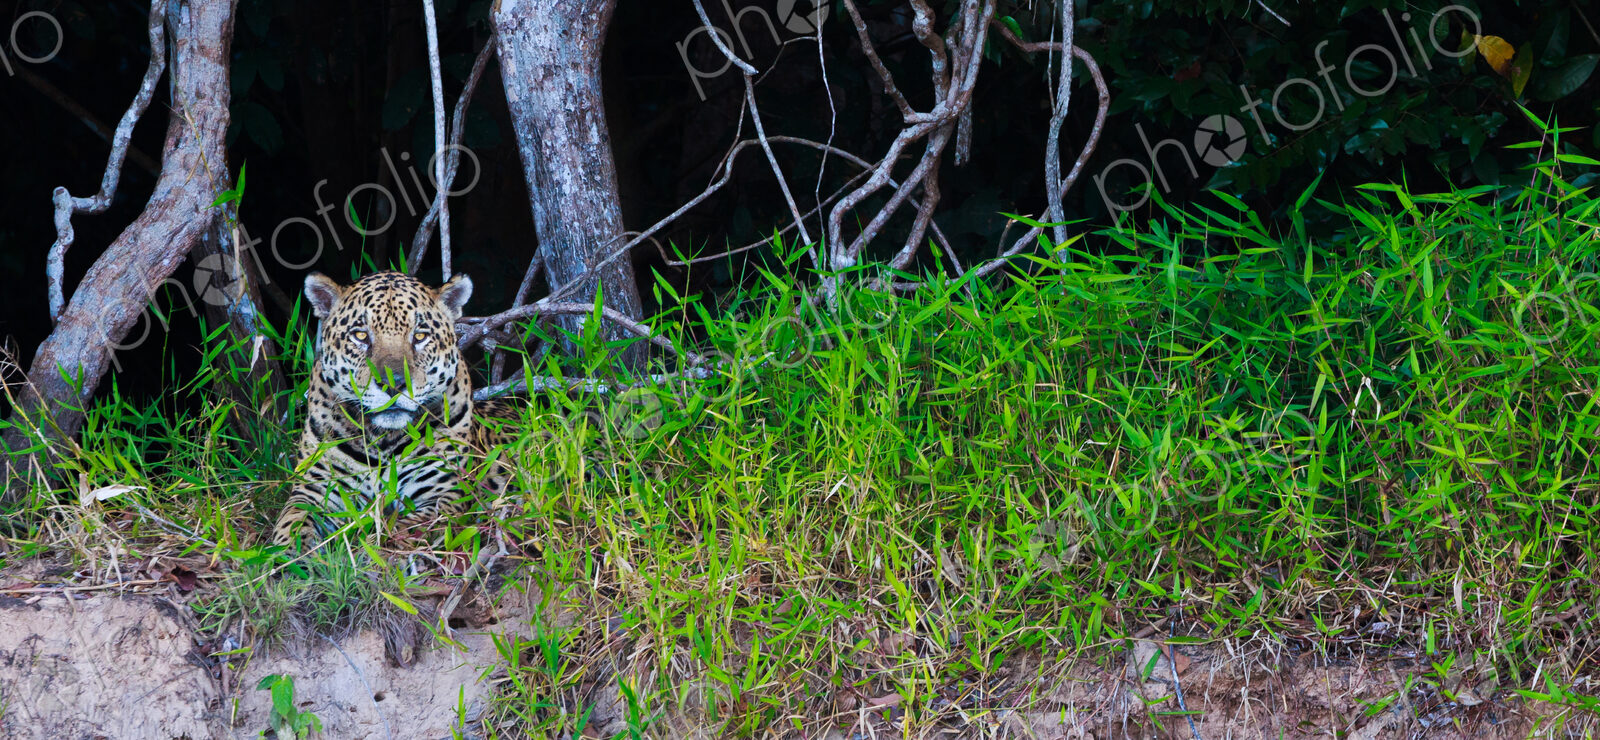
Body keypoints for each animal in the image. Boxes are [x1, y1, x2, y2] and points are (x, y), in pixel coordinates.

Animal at [270, 270, 518, 547]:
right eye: (361, 336)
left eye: (420, 336)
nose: (393, 384)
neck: (382, 441)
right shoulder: (314, 488)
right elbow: (292, 523)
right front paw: (294, 551)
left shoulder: (444, 493)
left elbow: (406, 530)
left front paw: (370, 547)